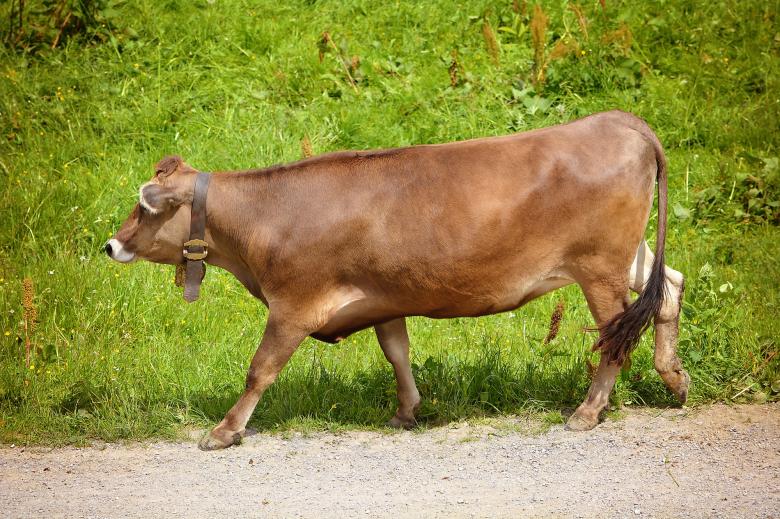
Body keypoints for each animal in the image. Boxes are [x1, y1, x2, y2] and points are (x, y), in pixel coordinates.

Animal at [106, 110, 688, 450]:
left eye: (144, 208)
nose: (110, 245)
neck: (265, 219)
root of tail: (620, 121)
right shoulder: (384, 298)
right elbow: (397, 352)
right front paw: (407, 410)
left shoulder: (292, 305)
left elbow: (260, 369)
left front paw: (225, 431)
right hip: (628, 257)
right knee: (669, 288)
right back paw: (675, 377)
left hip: (599, 267)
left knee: (616, 337)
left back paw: (588, 412)